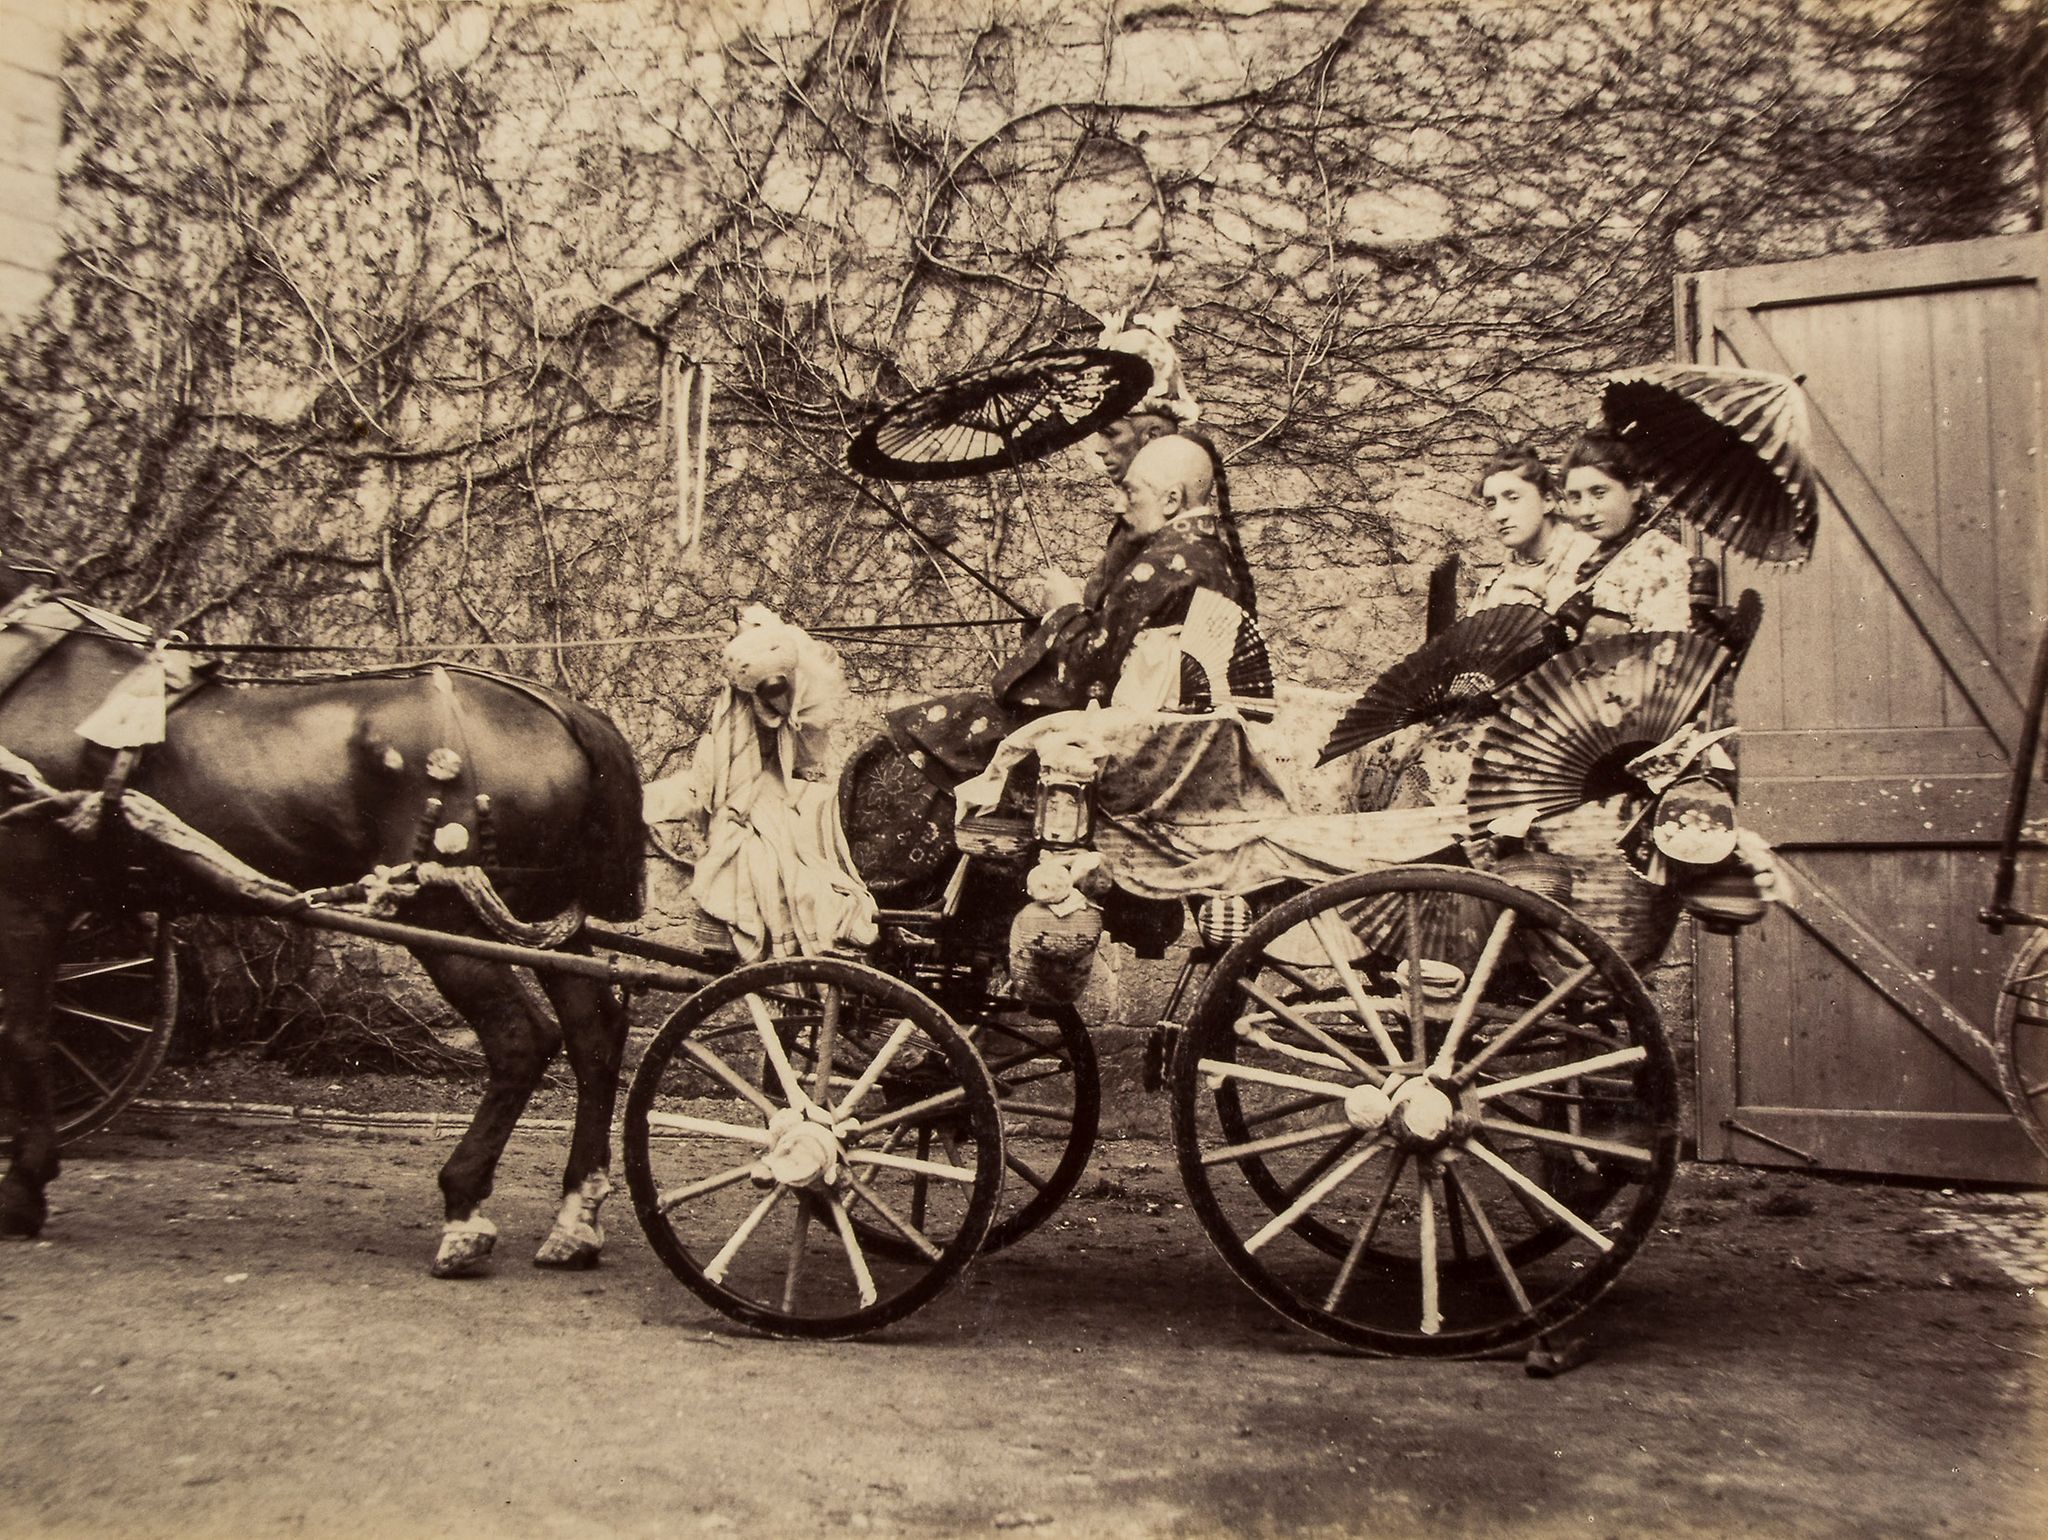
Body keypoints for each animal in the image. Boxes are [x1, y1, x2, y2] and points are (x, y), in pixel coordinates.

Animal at [0, 565, 647, 1277]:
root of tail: (560, 711)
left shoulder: (27, 901)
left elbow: (25, 1034)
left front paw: (24, 1185)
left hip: (449, 919)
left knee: (520, 1040)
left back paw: (464, 1206)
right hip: (543, 922)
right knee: (593, 1035)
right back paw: (574, 1219)